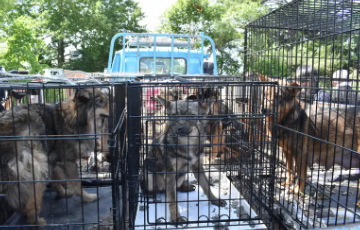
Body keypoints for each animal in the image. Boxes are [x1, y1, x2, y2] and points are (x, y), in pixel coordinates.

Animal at [0, 88, 109, 225]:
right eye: (100, 101)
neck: (72, 120)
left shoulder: (53, 160)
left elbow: (56, 180)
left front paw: (62, 192)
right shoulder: (68, 161)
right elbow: (77, 184)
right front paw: (87, 197)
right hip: (36, 162)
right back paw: (35, 220)